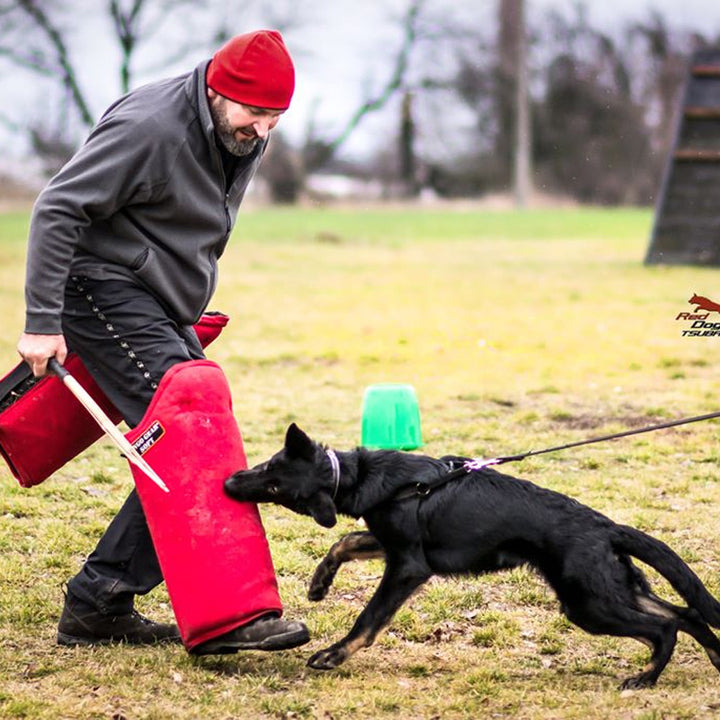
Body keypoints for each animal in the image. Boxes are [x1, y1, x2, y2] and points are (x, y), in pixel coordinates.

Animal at [224, 424, 720, 688]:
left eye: (273, 483)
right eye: (268, 465)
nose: (228, 482)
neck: (357, 475)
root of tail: (608, 528)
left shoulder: (408, 567)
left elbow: (369, 617)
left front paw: (334, 654)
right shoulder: (391, 544)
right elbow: (344, 540)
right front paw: (319, 583)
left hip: (588, 605)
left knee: (665, 626)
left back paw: (646, 678)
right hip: (611, 590)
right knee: (687, 614)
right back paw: (713, 657)